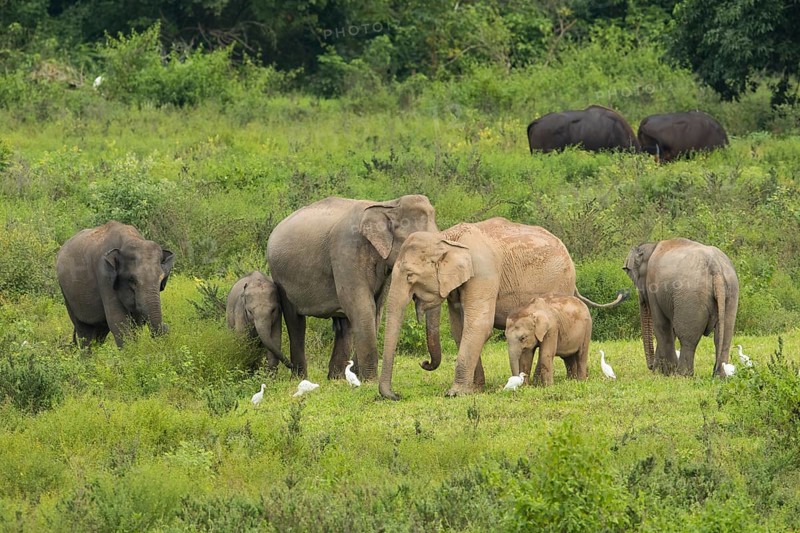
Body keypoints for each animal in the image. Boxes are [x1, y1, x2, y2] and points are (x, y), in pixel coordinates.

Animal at [266, 195, 437, 381]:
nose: (424, 363)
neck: (388, 205)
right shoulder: (346, 251)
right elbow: (363, 305)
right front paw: (370, 381)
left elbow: (376, 308)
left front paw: (360, 378)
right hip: (281, 277)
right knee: (296, 322)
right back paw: (301, 379)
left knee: (344, 325)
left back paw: (336, 379)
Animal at [379, 217, 627, 399]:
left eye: (410, 276)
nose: (397, 396)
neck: (446, 238)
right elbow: (460, 329)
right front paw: (475, 389)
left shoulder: (484, 272)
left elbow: (479, 325)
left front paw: (455, 393)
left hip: (561, 282)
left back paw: (540, 383)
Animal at [622, 238, 739, 377]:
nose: (650, 367)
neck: (652, 246)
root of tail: (715, 267)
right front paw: (663, 371)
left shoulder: (653, 287)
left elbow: (662, 325)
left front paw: (666, 373)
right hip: (731, 293)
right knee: (724, 335)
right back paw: (719, 376)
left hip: (690, 297)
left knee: (688, 338)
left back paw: (682, 375)